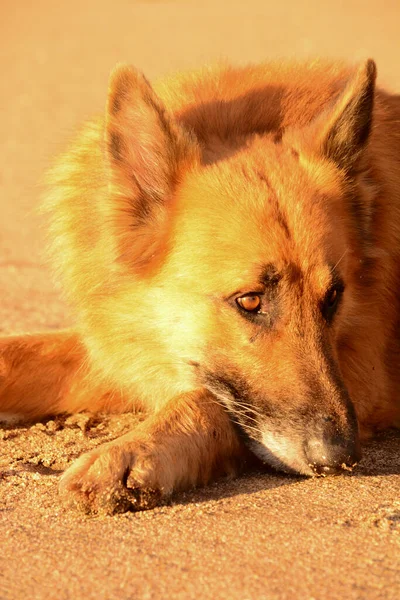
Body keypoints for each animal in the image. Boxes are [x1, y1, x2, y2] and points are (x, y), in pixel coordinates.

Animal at [0, 58, 400, 512]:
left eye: (333, 297)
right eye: (250, 301)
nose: (341, 457)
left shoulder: (366, 380)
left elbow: (209, 399)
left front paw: (130, 453)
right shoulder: (128, 348)